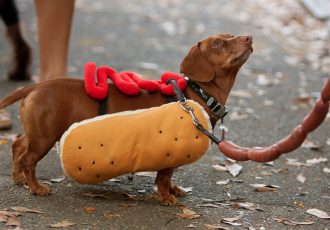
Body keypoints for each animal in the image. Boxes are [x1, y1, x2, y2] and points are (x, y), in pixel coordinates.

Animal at [0, 33, 253, 205]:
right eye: (218, 44)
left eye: (231, 35)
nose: (249, 37)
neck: (196, 92)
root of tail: (36, 86)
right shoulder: (168, 152)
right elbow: (164, 177)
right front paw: (166, 198)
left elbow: (169, 176)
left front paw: (174, 190)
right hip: (45, 137)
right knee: (27, 159)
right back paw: (36, 187)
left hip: (37, 131)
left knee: (17, 144)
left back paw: (18, 178)